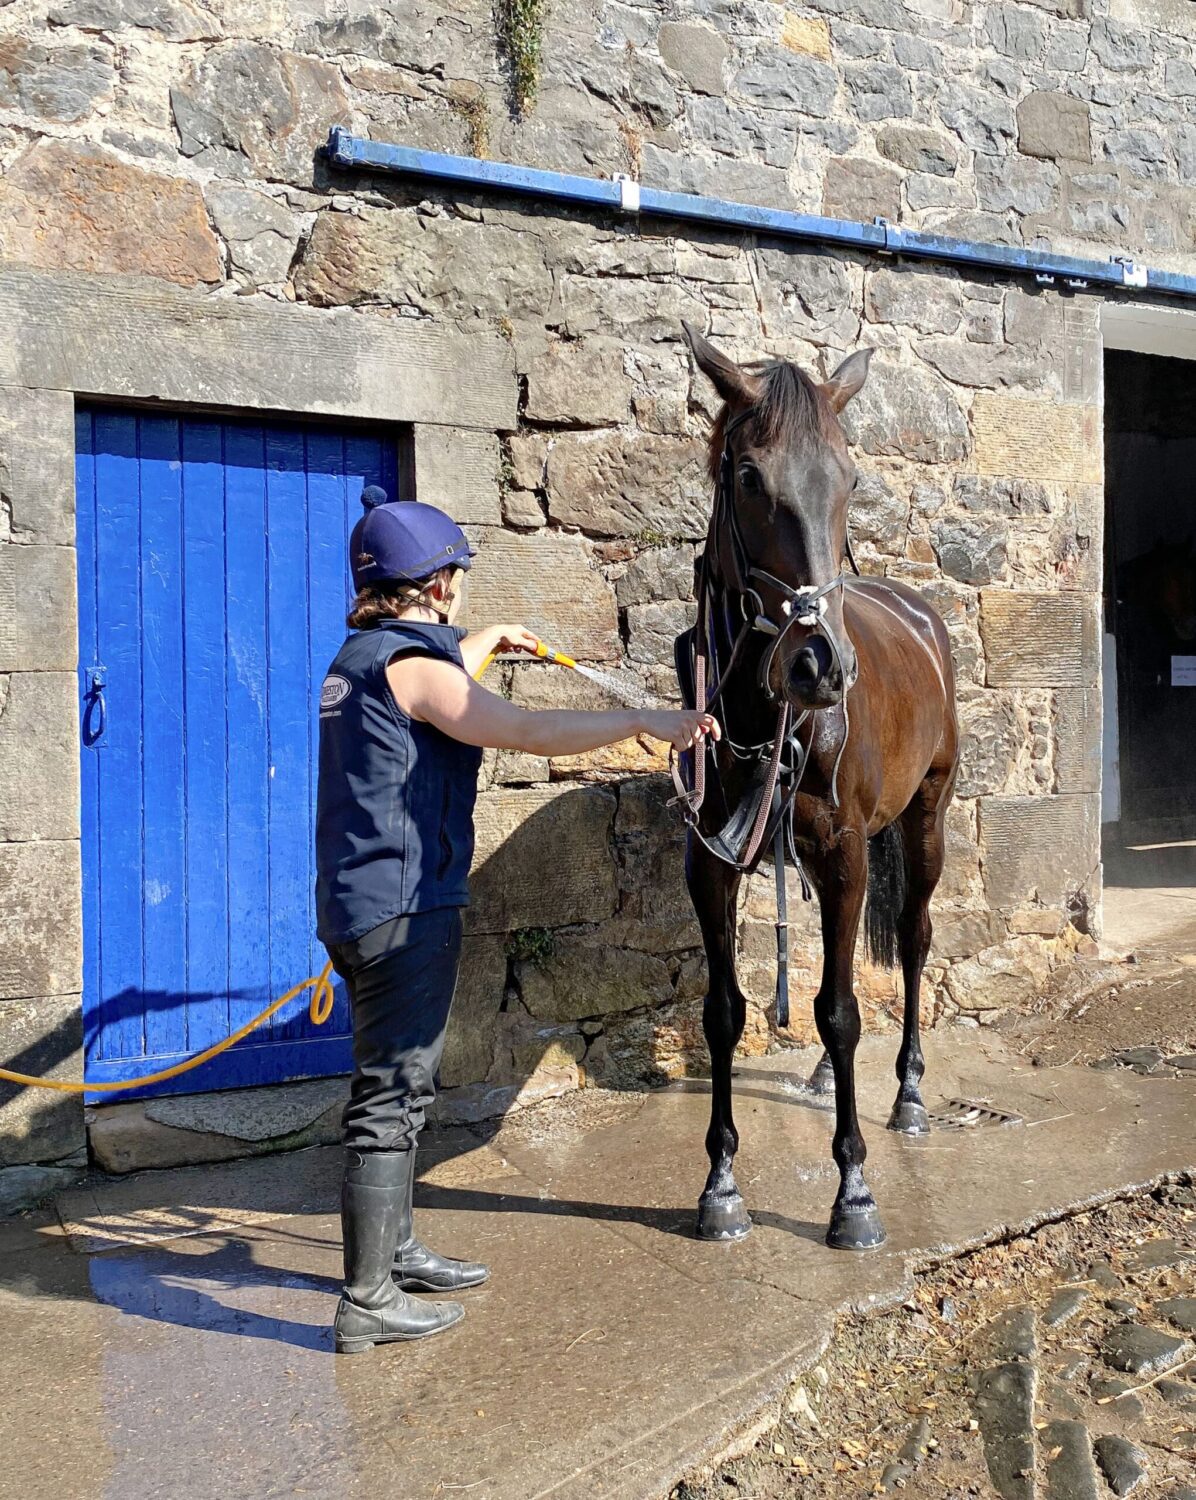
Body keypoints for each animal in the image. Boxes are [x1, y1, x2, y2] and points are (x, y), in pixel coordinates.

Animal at [673, 323, 960, 1252]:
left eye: (850, 478)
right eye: (747, 476)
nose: (820, 665)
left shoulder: (843, 855)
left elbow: (840, 1012)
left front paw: (854, 1192)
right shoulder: (711, 863)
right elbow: (724, 1012)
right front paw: (721, 1184)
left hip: (925, 821)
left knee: (912, 940)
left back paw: (908, 1092)